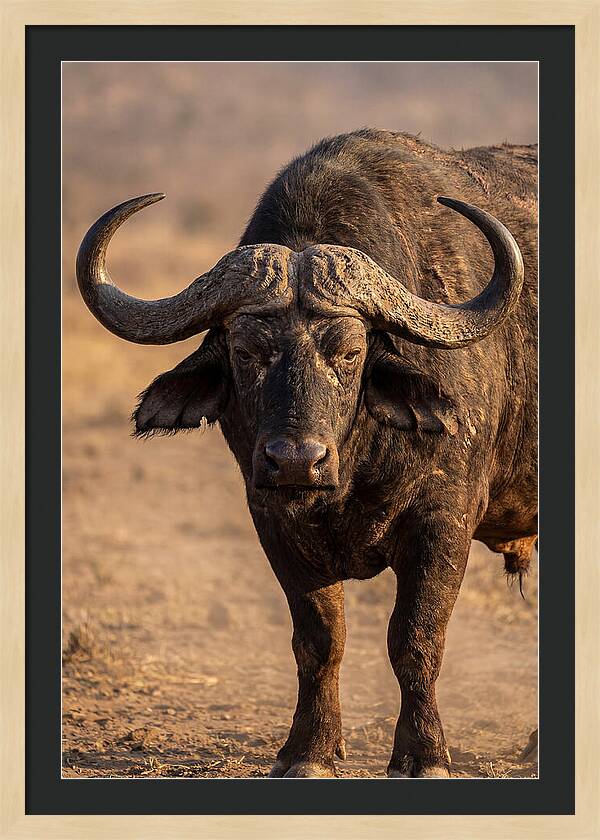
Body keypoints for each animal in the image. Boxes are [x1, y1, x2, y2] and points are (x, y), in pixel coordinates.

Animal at [76, 129, 537, 778]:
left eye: (349, 352)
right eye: (246, 351)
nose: (295, 460)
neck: (352, 469)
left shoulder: (443, 522)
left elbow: (416, 639)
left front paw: (424, 754)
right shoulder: (273, 522)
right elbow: (319, 641)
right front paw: (310, 751)